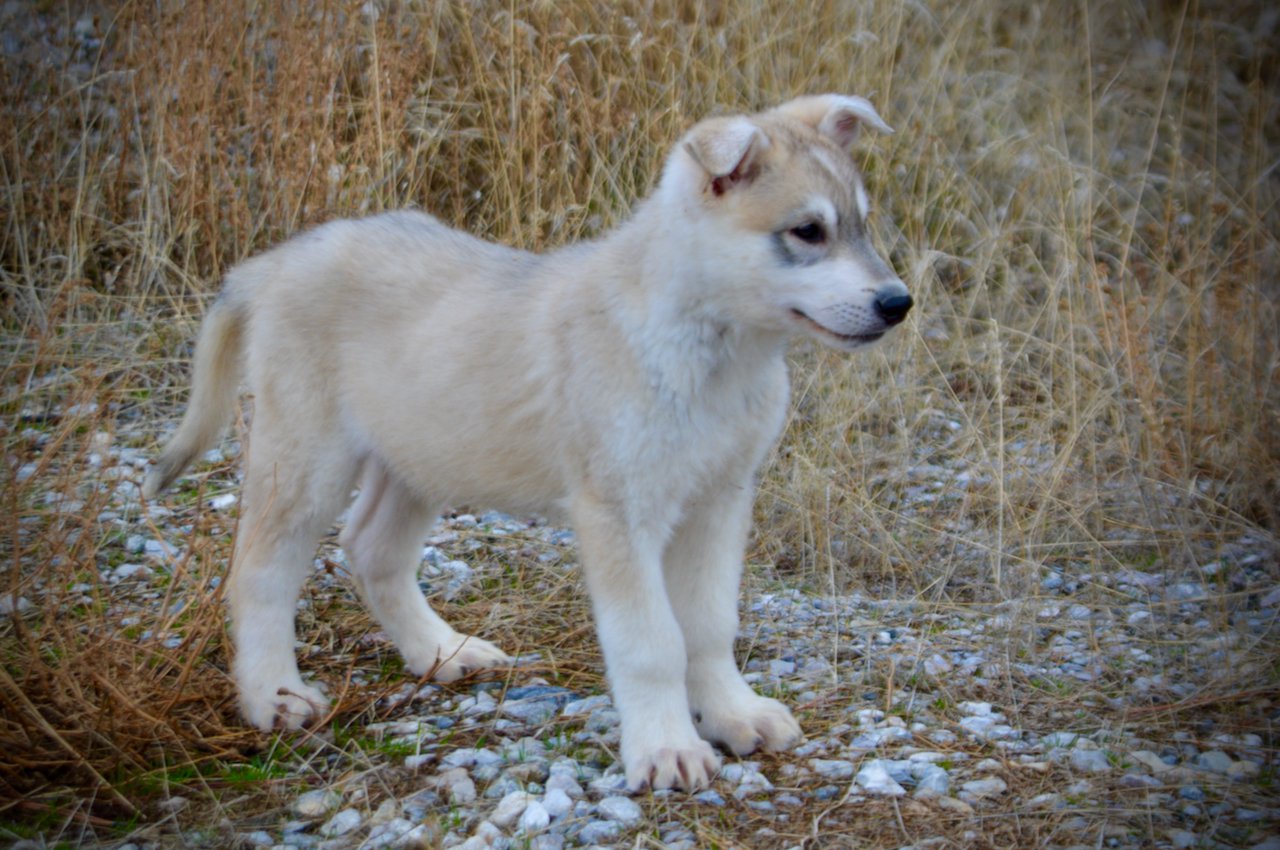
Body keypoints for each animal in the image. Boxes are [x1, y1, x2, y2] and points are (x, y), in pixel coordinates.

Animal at [147, 96, 911, 793]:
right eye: (807, 231)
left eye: (860, 224)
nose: (898, 303)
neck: (711, 348)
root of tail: (273, 263)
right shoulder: (618, 512)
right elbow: (653, 642)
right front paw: (666, 748)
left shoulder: (720, 501)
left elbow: (708, 626)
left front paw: (732, 714)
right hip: (309, 459)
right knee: (260, 570)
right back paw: (273, 696)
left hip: (420, 456)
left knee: (372, 550)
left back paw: (441, 650)